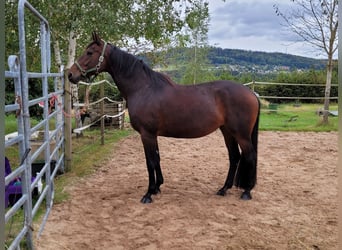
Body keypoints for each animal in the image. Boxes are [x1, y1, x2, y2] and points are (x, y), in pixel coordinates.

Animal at [68, 31, 260, 203]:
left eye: (89, 52)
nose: (70, 74)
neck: (143, 88)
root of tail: (251, 93)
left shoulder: (147, 134)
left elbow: (150, 161)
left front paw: (148, 193)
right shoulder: (152, 135)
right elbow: (157, 158)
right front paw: (158, 187)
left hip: (241, 134)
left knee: (250, 155)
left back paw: (247, 192)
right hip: (227, 131)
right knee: (234, 157)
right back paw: (224, 189)